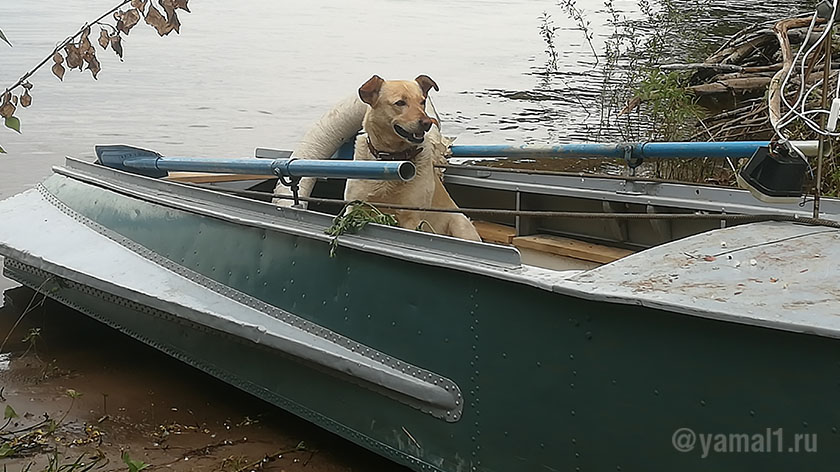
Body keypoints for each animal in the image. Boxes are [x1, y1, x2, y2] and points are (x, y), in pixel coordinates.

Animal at [346, 76, 480, 243]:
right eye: (400, 103)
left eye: (422, 101)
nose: (427, 122)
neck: (392, 160)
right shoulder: (353, 207)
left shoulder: (411, 218)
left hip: (460, 224)